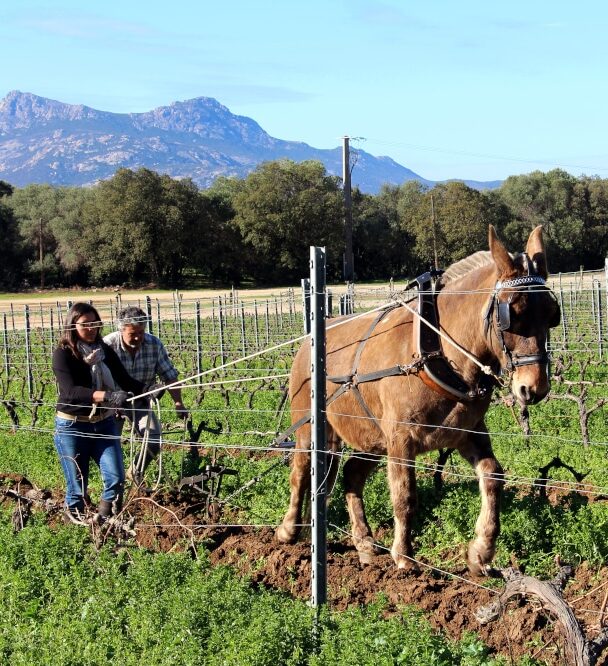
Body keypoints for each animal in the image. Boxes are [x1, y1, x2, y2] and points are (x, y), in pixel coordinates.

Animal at [276, 226, 560, 572]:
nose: (534, 388)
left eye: (551, 314)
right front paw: (404, 555)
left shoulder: (467, 432)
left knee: (351, 474)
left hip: (372, 437)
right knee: (300, 473)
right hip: (310, 428)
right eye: (513, 314)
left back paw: (365, 543)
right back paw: (289, 530)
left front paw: (481, 549)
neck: (437, 351)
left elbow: (493, 475)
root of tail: (310, 339)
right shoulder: (401, 438)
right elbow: (405, 496)